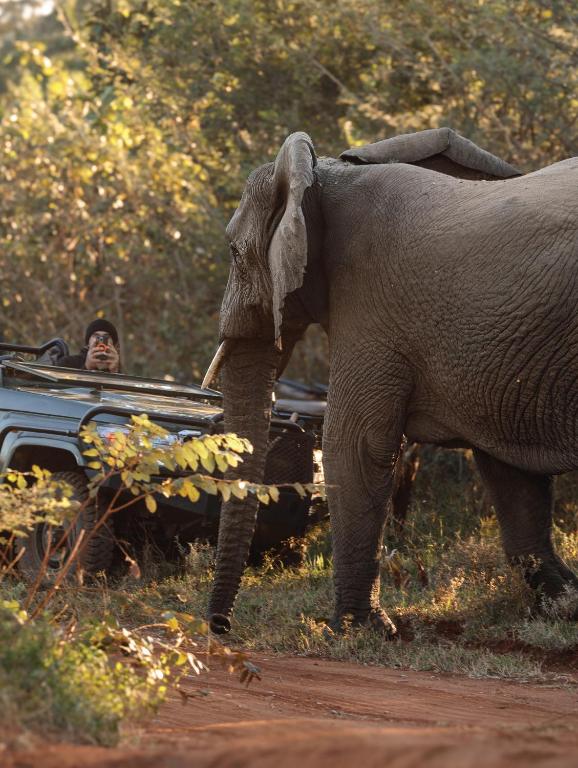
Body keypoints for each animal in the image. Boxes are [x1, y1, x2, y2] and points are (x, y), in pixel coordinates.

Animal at [203, 127, 578, 636]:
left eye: (234, 252)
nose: (219, 626)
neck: (325, 175)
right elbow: (508, 466)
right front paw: (564, 607)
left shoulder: (370, 305)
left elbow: (354, 444)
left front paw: (357, 630)